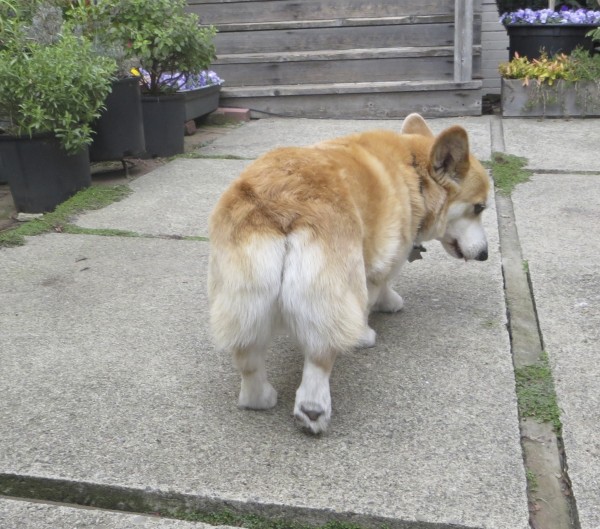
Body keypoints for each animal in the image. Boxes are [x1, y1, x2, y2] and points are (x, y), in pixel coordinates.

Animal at [209, 113, 490, 432]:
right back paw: (313, 410)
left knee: (248, 359)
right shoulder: (381, 264)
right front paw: (372, 326)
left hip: (243, 299)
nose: (485, 254)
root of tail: (280, 205)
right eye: (479, 207)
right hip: (329, 293)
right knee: (318, 359)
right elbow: (376, 293)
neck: (415, 174)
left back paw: (260, 398)